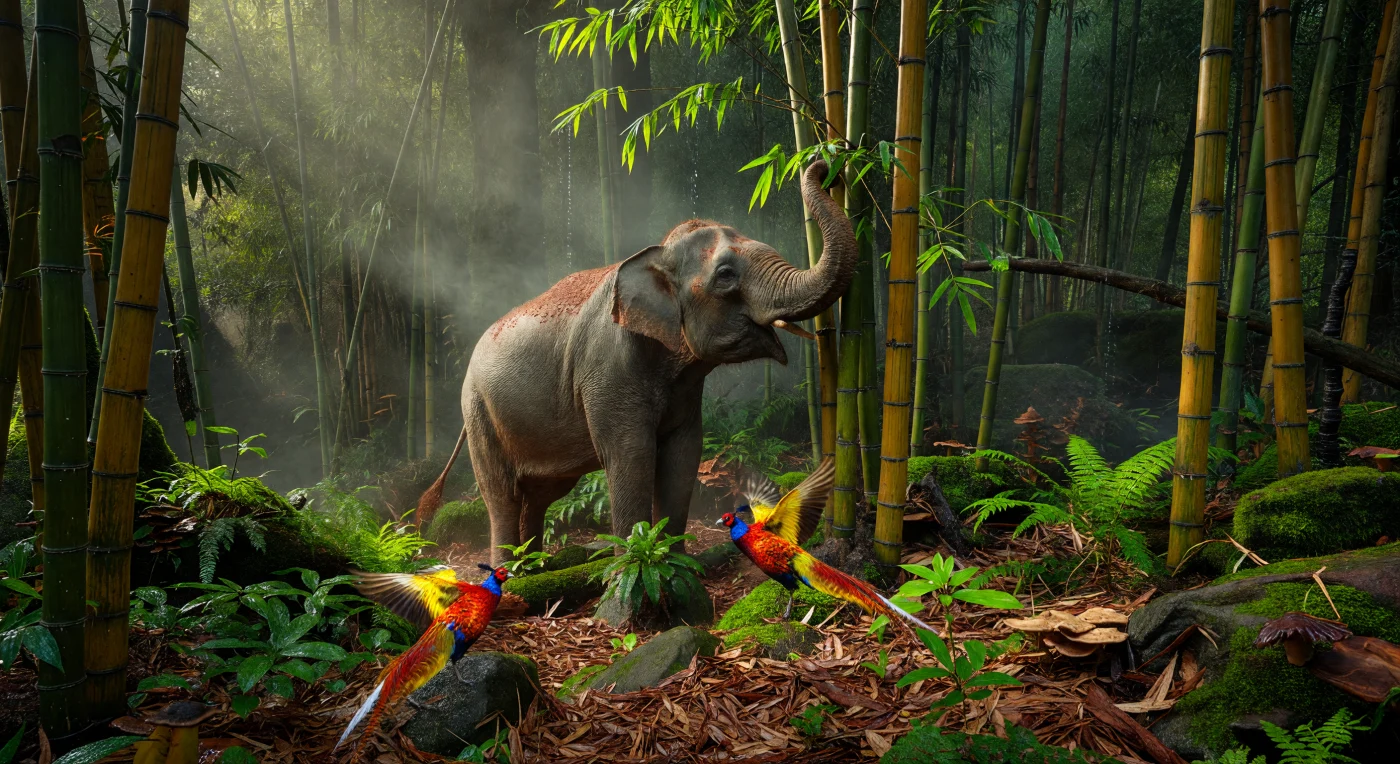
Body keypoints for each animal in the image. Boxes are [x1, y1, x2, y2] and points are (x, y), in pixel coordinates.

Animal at [419, 160, 857, 562]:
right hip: (479, 412)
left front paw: (677, 562)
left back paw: (533, 567)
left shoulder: (685, 387)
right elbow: (631, 454)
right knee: (502, 494)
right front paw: (632, 566)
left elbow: (684, 451)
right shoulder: (608, 368)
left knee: (542, 491)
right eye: (726, 275)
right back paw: (508, 573)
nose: (825, 164)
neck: (657, 254)